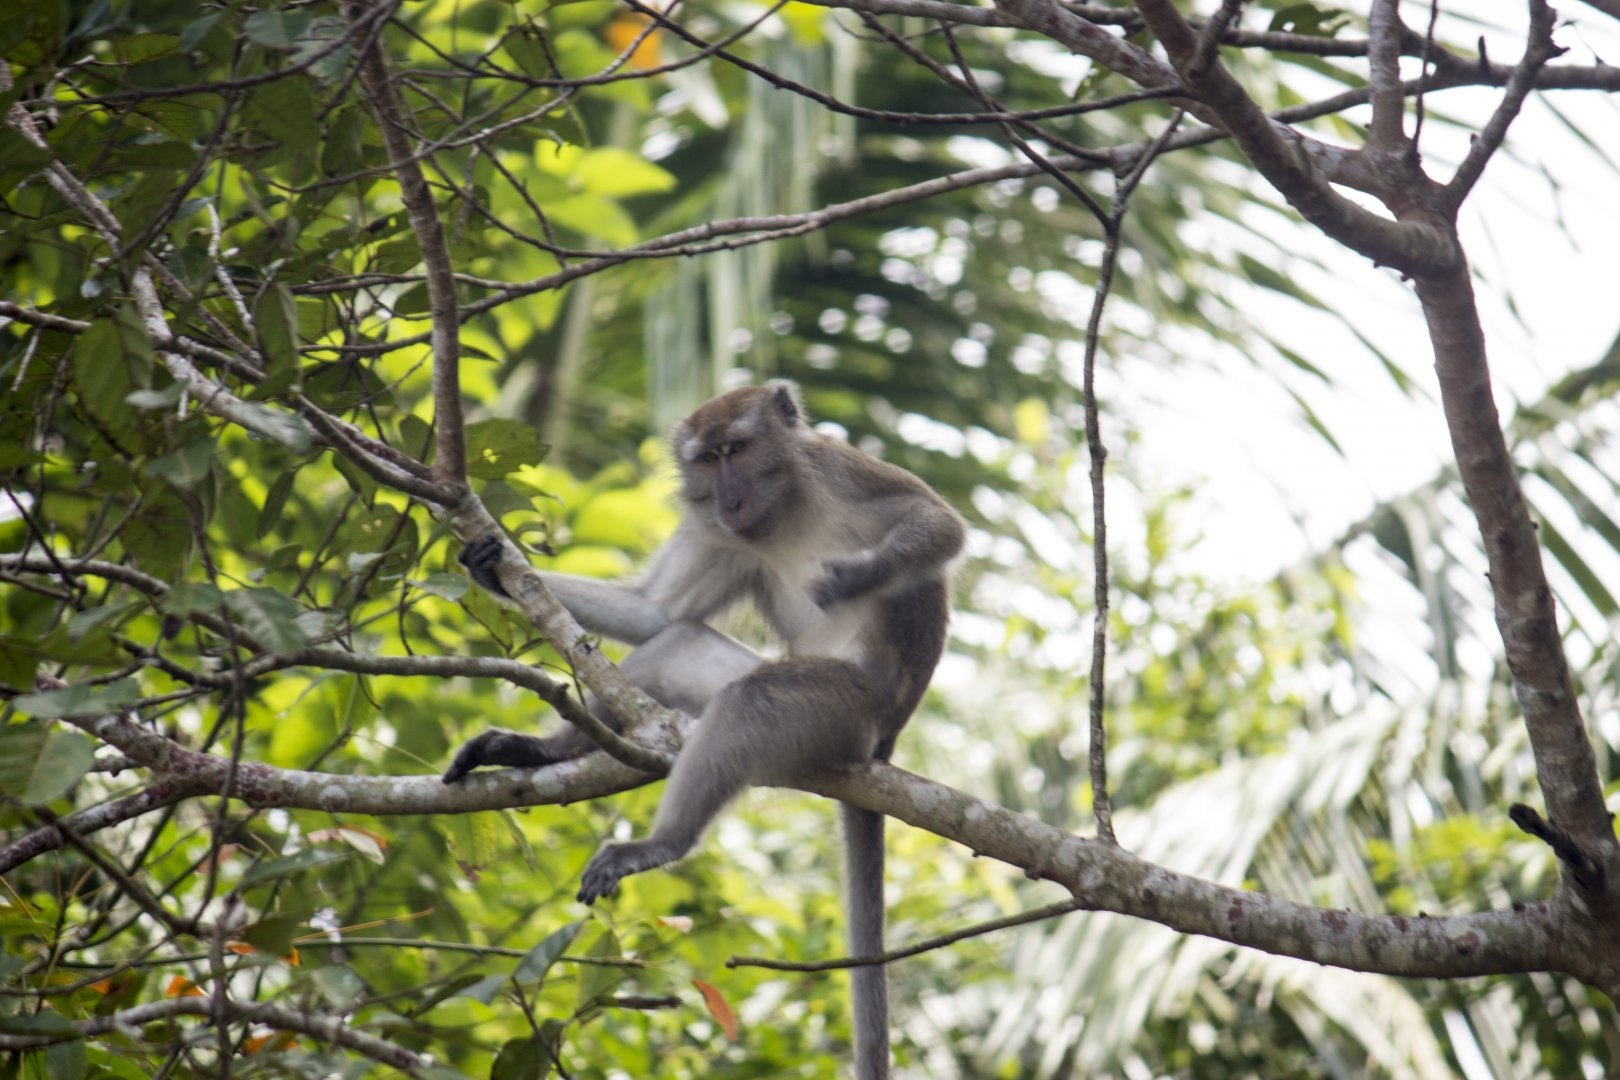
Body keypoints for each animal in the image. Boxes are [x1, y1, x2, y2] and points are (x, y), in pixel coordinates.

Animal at [446, 381, 964, 1079]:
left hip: (848, 710)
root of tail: (886, 743)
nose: (731, 499)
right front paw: (488, 568)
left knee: (754, 700)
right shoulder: (721, 533)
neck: (784, 508)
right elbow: (657, 614)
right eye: (709, 459)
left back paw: (663, 843)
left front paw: (857, 575)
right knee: (679, 644)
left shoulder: (838, 469)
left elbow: (939, 522)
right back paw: (541, 753)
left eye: (738, 450)